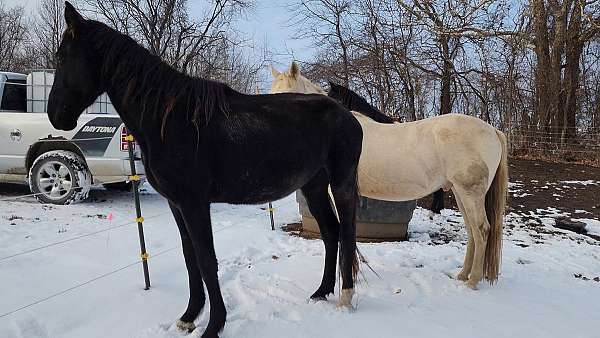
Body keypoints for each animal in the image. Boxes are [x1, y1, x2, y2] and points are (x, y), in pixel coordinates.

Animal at [47, 3, 360, 338]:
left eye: (63, 57)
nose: (55, 115)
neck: (170, 120)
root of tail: (346, 114)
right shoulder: (177, 204)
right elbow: (190, 258)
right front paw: (189, 316)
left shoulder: (195, 204)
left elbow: (207, 260)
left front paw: (214, 325)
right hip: (313, 187)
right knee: (330, 232)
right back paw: (321, 292)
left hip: (341, 184)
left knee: (346, 232)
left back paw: (345, 297)